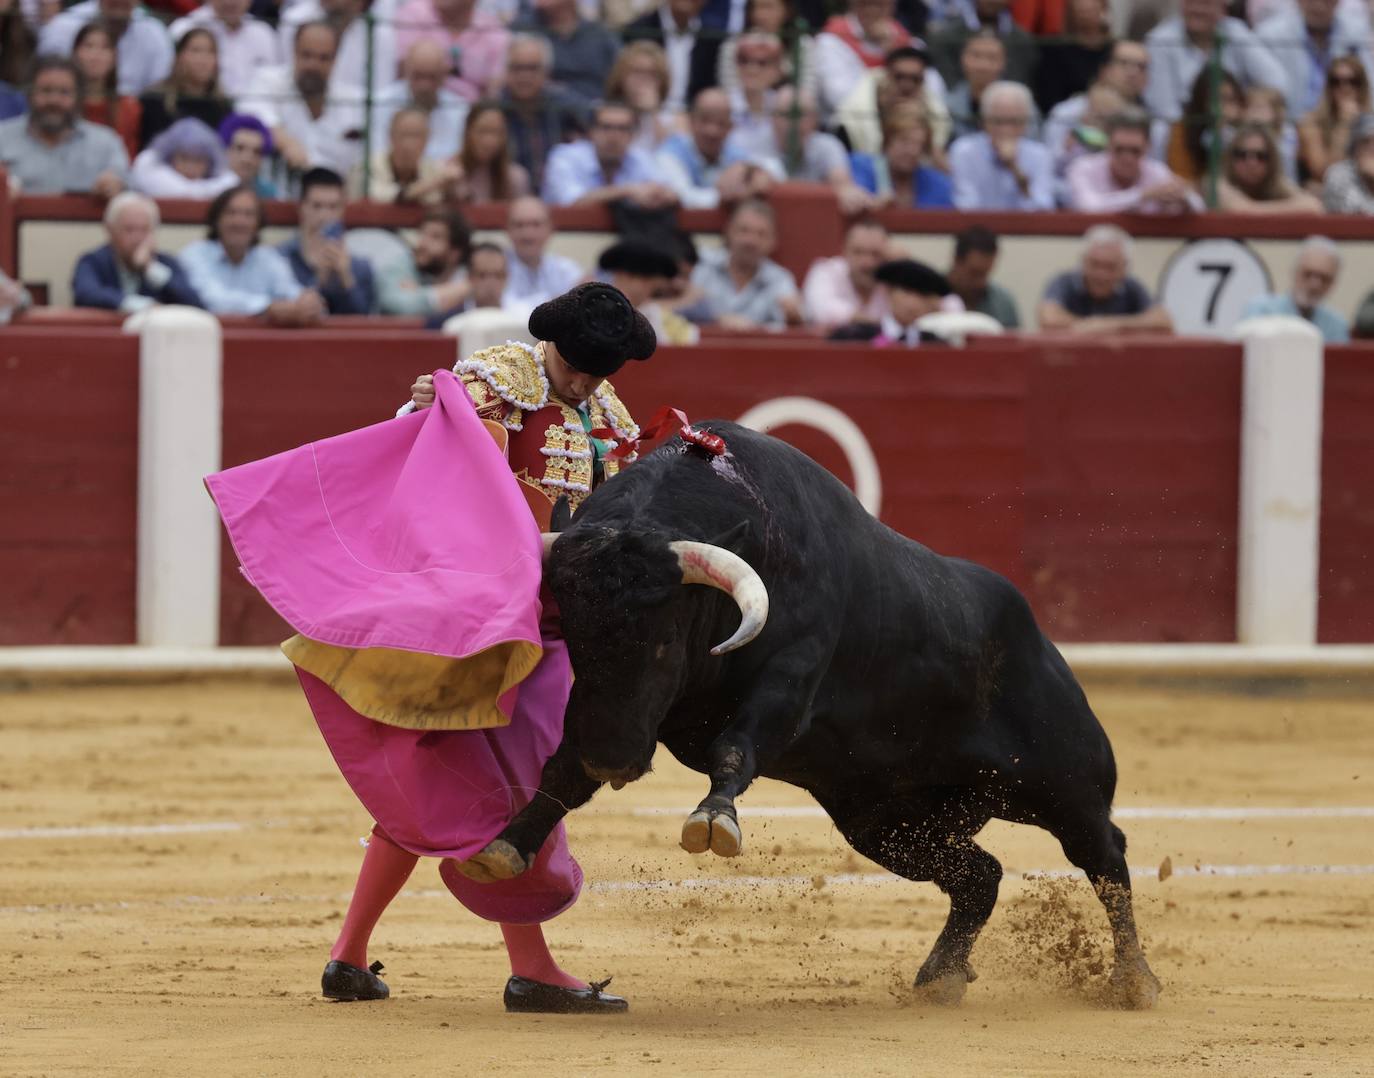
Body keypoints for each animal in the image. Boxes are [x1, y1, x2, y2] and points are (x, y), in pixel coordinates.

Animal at [458, 422, 1159, 1010]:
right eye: (572, 636)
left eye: (663, 639)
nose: (612, 758)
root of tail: (1036, 636)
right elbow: (561, 773)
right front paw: (505, 847)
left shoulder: (790, 683)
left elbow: (737, 747)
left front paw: (713, 820)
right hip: (884, 822)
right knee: (979, 876)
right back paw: (941, 978)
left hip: (1063, 786)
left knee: (1105, 857)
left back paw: (1134, 981)